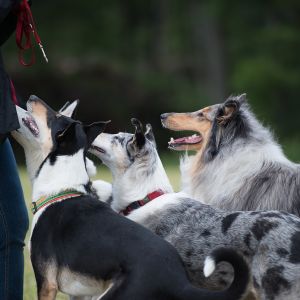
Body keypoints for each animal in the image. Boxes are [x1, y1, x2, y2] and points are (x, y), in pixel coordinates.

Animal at [11, 96, 248, 300]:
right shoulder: (80, 292)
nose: (31, 97)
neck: (63, 187)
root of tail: (180, 281)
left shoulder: (47, 282)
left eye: (54, 117)